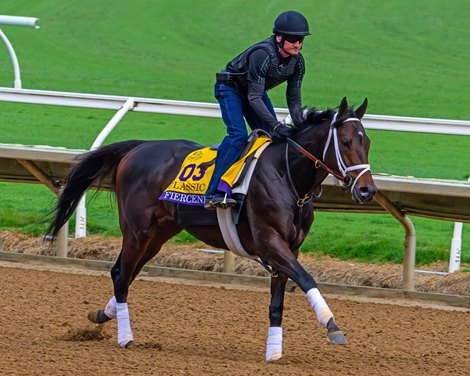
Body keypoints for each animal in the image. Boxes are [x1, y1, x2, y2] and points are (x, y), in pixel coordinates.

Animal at [46, 96, 376, 362]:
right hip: (137, 231)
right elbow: (306, 279)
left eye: (368, 142)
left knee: (127, 274)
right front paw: (332, 325)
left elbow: (277, 302)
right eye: (346, 142)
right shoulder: (270, 242)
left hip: (158, 235)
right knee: (120, 274)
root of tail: (137, 148)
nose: (367, 190)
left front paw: (274, 352)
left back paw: (103, 314)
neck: (287, 175)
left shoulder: (289, 248)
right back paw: (125, 337)